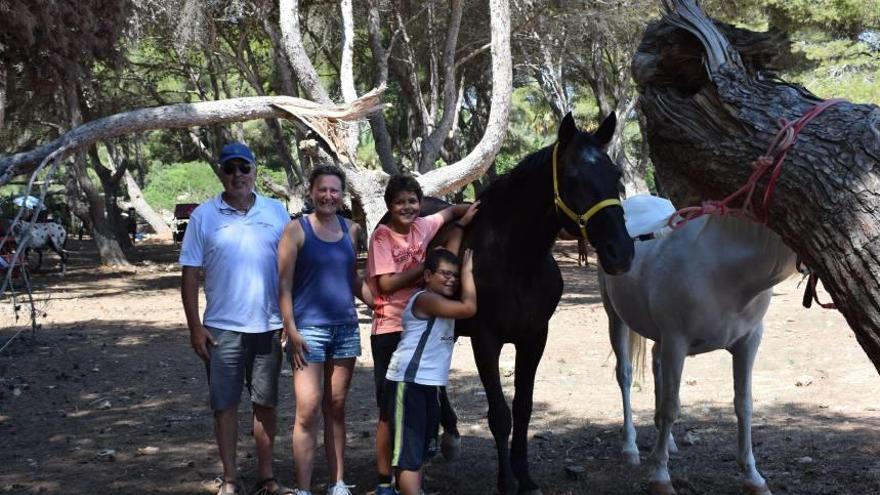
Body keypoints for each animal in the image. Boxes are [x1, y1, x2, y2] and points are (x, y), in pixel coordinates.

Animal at [600, 196, 796, 494]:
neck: (723, 271)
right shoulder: (676, 342)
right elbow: (672, 406)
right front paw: (660, 477)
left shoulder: (748, 343)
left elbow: (744, 405)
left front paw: (753, 477)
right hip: (616, 317)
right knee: (625, 375)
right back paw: (630, 447)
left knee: (656, 364)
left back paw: (666, 441)